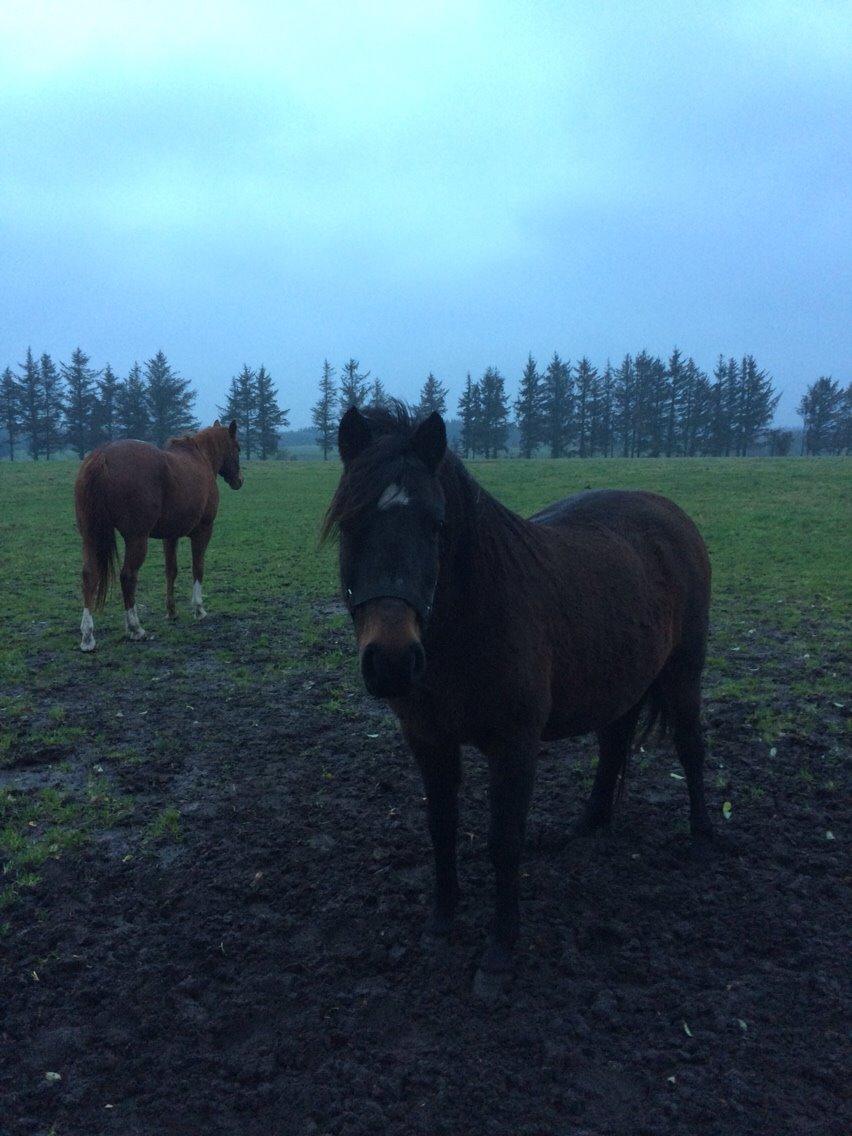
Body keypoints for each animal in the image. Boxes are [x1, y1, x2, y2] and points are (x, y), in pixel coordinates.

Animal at [73, 418, 243, 654]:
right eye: (238, 448)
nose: (239, 480)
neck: (201, 458)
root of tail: (102, 456)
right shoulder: (203, 530)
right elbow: (198, 568)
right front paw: (198, 609)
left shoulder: (169, 536)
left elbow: (171, 571)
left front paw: (171, 611)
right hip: (136, 539)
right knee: (128, 576)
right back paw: (135, 628)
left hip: (90, 536)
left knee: (89, 575)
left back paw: (88, 636)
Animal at [324, 408, 713, 995]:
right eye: (349, 524)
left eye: (436, 526)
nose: (392, 661)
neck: (470, 626)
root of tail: (672, 514)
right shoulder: (429, 740)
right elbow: (441, 827)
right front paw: (441, 924)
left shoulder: (515, 745)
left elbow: (504, 841)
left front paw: (500, 952)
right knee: (614, 742)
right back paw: (588, 824)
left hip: (684, 673)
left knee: (690, 748)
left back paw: (701, 837)